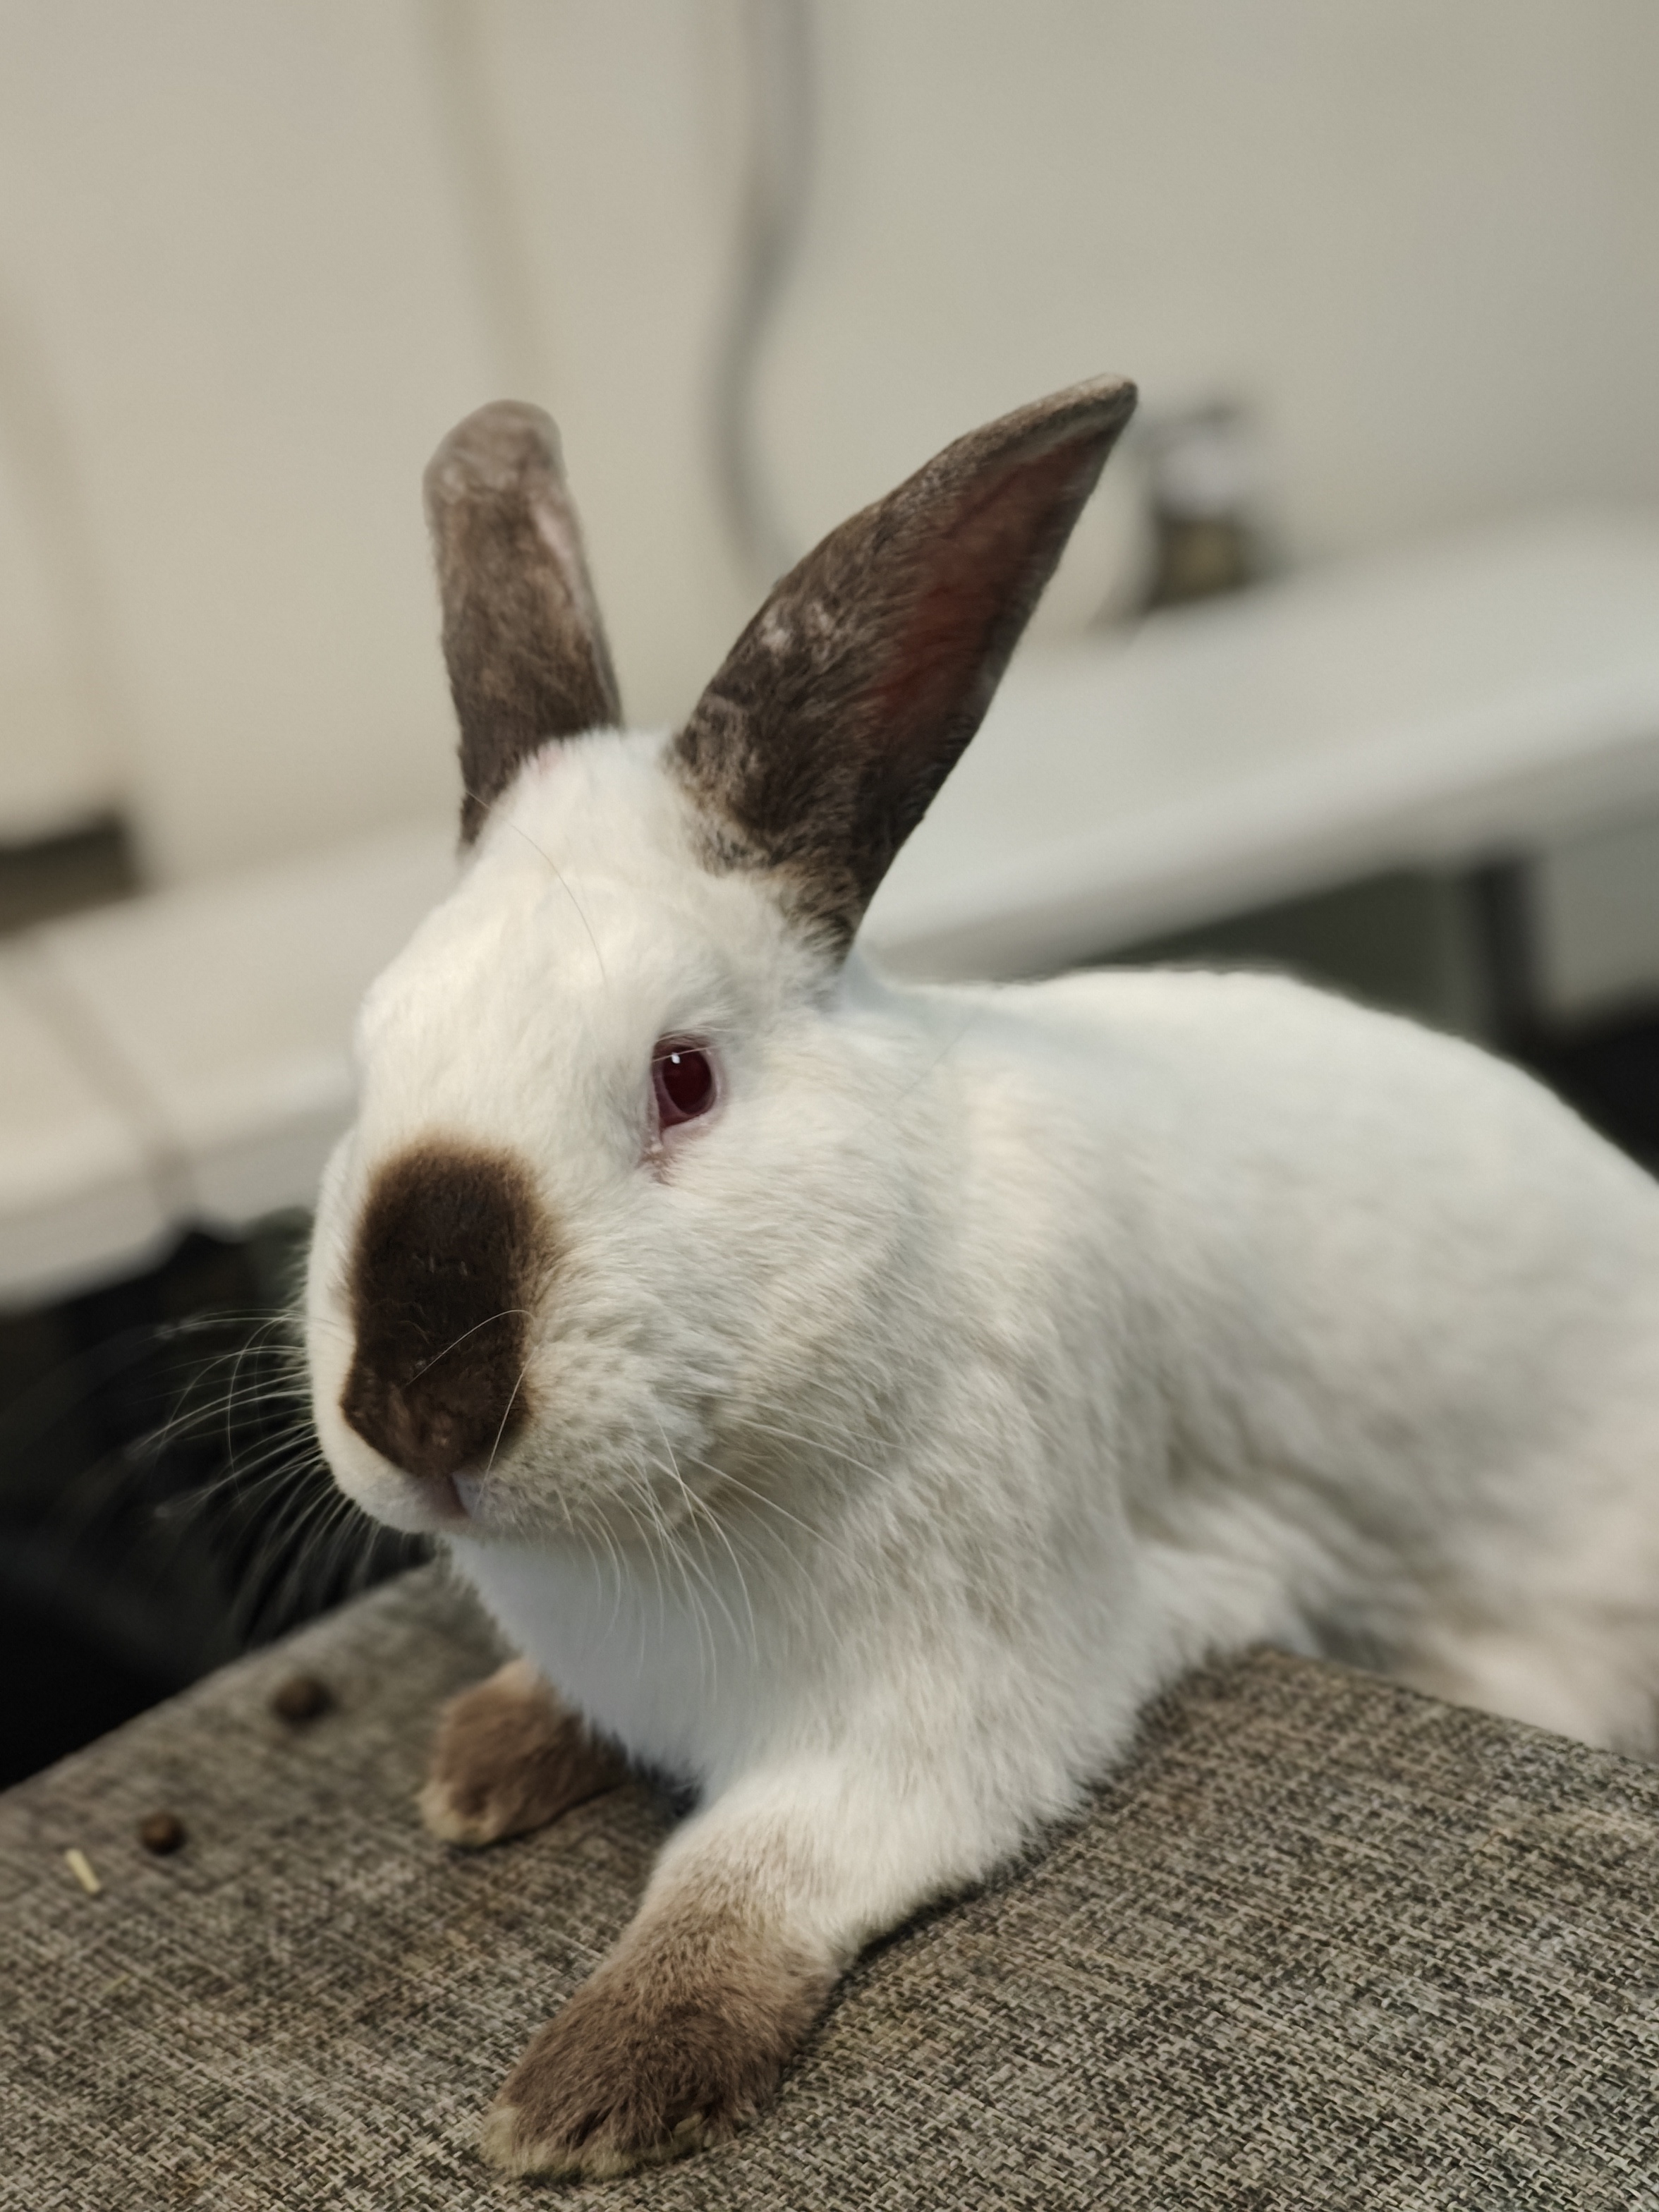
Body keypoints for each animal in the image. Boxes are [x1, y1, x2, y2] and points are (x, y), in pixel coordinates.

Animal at [305, 384, 1659, 2176]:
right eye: (368, 1059)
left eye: (681, 1077)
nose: (418, 1400)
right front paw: (484, 1758)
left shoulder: (940, 1722)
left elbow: (741, 1874)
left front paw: (592, 2088)